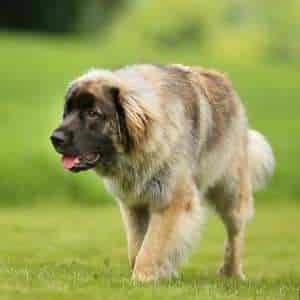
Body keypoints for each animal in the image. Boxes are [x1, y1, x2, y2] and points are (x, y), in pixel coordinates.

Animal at [51, 63, 274, 282]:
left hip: (230, 190)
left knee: (235, 232)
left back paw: (232, 272)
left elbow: (152, 244)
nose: (55, 138)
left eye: (92, 113)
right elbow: (137, 245)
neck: (138, 152)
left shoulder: (171, 200)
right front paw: (152, 272)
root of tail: (224, 80)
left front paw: (142, 277)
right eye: (67, 112)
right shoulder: (134, 204)